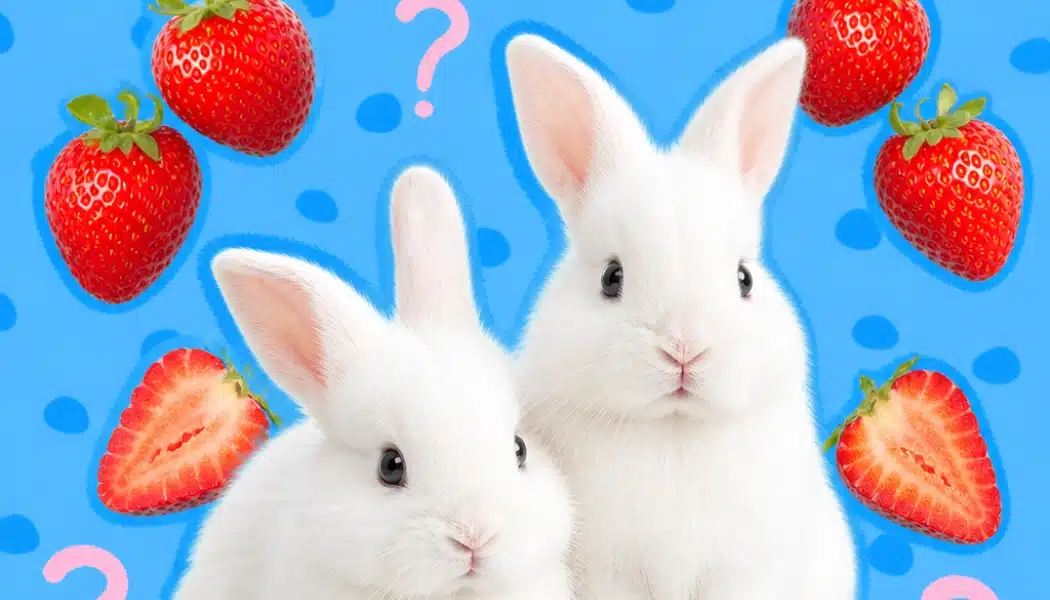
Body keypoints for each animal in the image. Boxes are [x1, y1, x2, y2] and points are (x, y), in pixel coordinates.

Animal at [504, 33, 857, 600]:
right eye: (611, 278)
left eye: (744, 279)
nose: (684, 348)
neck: (674, 429)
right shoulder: (608, 574)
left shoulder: (741, 571)